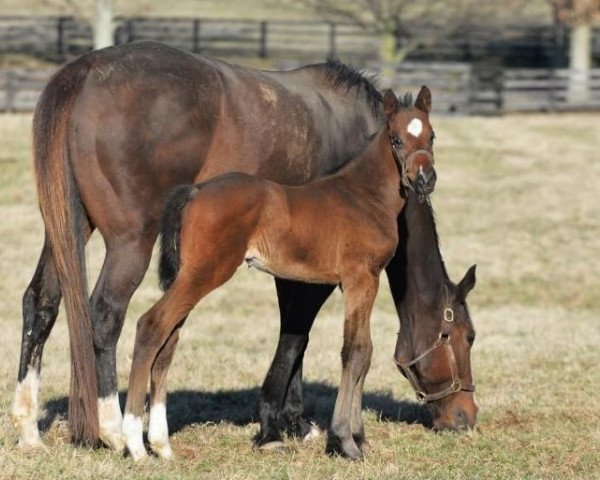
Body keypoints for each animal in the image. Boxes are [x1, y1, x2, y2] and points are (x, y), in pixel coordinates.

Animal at [124, 88, 438, 460]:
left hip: (190, 276)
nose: (425, 179)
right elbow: (356, 351)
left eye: (431, 136)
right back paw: (135, 444)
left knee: (168, 338)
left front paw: (358, 437)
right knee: (151, 325)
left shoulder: (359, 283)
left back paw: (161, 444)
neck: (365, 196)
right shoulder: (361, 279)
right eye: (396, 139)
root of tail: (195, 190)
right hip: (204, 273)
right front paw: (345, 442)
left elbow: (365, 352)